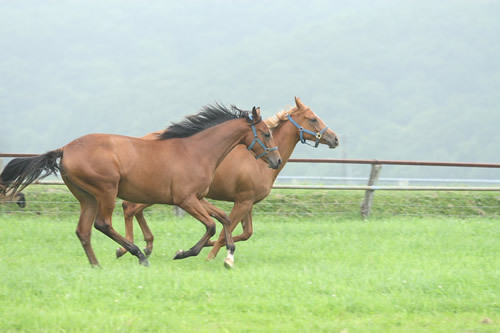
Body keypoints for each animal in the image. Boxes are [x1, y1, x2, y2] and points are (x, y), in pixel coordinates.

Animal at [0, 104, 282, 268]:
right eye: (266, 133)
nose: (277, 160)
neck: (197, 151)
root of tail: (65, 149)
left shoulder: (199, 198)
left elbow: (224, 218)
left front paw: (229, 255)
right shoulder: (186, 200)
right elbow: (212, 225)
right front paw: (183, 253)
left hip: (86, 197)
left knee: (83, 231)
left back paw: (97, 265)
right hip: (106, 191)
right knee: (103, 224)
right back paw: (138, 255)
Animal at [115, 96, 338, 260]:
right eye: (313, 118)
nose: (335, 138)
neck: (259, 162)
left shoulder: (247, 202)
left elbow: (244, 233)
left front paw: (207, 248)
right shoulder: (242, 201)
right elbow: (226, 229)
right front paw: (211, 256)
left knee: (132, 208)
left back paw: (141, 246)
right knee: (130, 208)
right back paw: (130, 248)